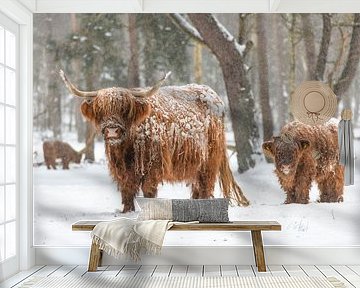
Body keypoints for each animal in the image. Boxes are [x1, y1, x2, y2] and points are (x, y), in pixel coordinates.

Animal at [59, 69, 250, 213]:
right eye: (100, 109)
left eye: (124, 109)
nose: (112, 130)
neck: (127, 148)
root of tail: (213, 95)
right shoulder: (122, 169)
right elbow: (127, 190)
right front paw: (127, 212)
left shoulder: (153, 166)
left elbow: (148, 190)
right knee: (197, 185)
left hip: (209, 159)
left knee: (205, 184)